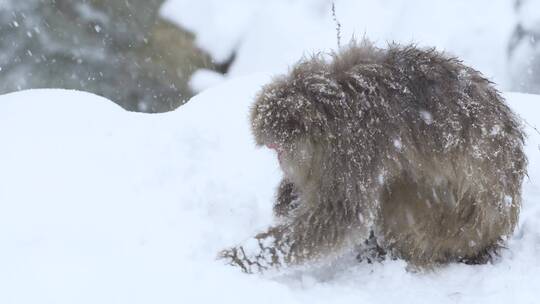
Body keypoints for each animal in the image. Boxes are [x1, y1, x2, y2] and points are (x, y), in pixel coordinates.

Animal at [217, 41, 524, 274]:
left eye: (277, 148)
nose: (281, 162)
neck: (336, 103)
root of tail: (492, 238)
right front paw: (287, 195)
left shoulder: (355, 144)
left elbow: (339, 217)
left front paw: (240, 258)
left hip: (450, 230)